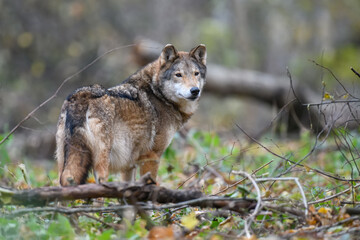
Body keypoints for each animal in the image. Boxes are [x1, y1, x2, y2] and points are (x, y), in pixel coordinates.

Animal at [55, 44, 207, 186]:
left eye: (196, 73)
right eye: (178, 75)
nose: (195, 90)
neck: (158, 94)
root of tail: (80, 96)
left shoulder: (128, 165)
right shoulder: (151, 156)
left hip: (64, 162)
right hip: (101, 162)